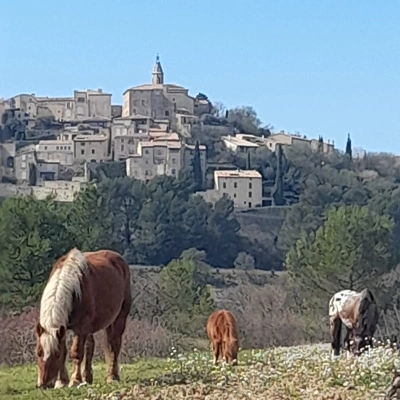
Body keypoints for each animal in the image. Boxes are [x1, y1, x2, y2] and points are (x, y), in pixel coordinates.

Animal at [34, 248, 131, 390]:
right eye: (38, 352)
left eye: (56, 355)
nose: (44, 385)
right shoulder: (63, 330)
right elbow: (68, 351)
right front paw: (61, 381)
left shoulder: (80, 329)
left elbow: (76, 352)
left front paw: (75, 380)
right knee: (90, 347)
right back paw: (87, 377)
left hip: (119, 318)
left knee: (114, 345)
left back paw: (112, 377)